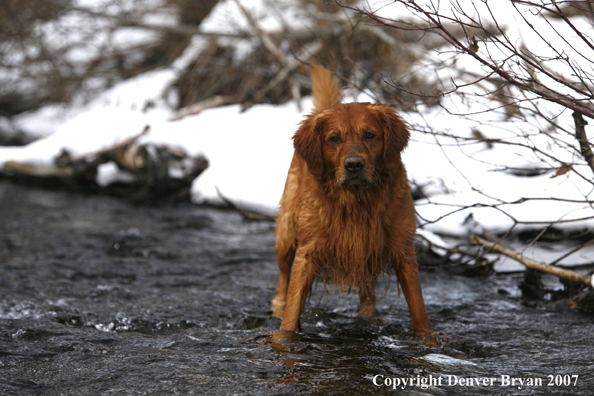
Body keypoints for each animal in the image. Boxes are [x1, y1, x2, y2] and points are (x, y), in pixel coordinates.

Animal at [272, 65, 434, 344]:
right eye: (334, 139)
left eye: (369, 135)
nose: (354, 165)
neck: (357, 200)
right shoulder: (308, 251)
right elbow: (293, 306)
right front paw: (283, 339)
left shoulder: (402, 249)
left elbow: (418, 307)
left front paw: (429, 340)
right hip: (286, 232)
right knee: (283, 276)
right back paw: (277, 305)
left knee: (367, 290)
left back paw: (369, 315)